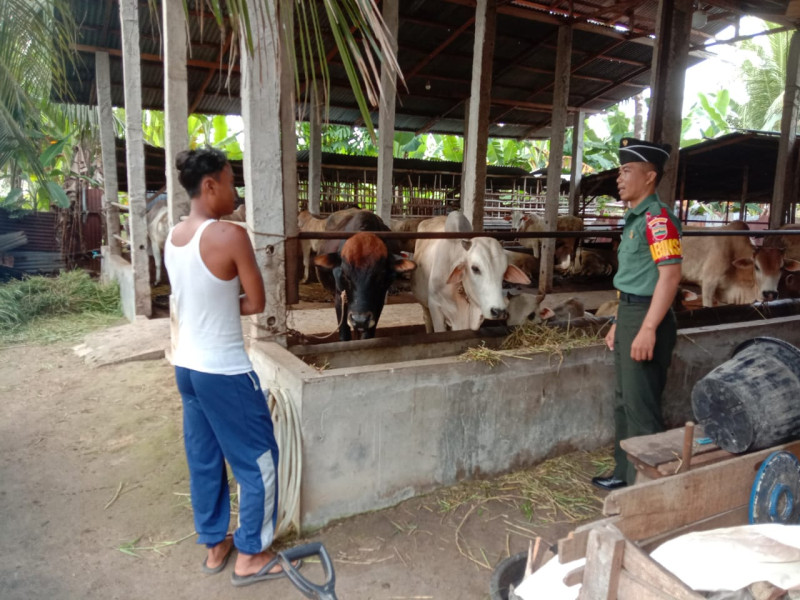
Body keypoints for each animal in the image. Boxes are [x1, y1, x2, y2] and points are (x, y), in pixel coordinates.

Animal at [314, 210, 416, 342]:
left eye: (381, 276)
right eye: (345, 275)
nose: (359, 320)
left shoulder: (378, 301)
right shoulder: (339, 297)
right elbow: (344, 335)